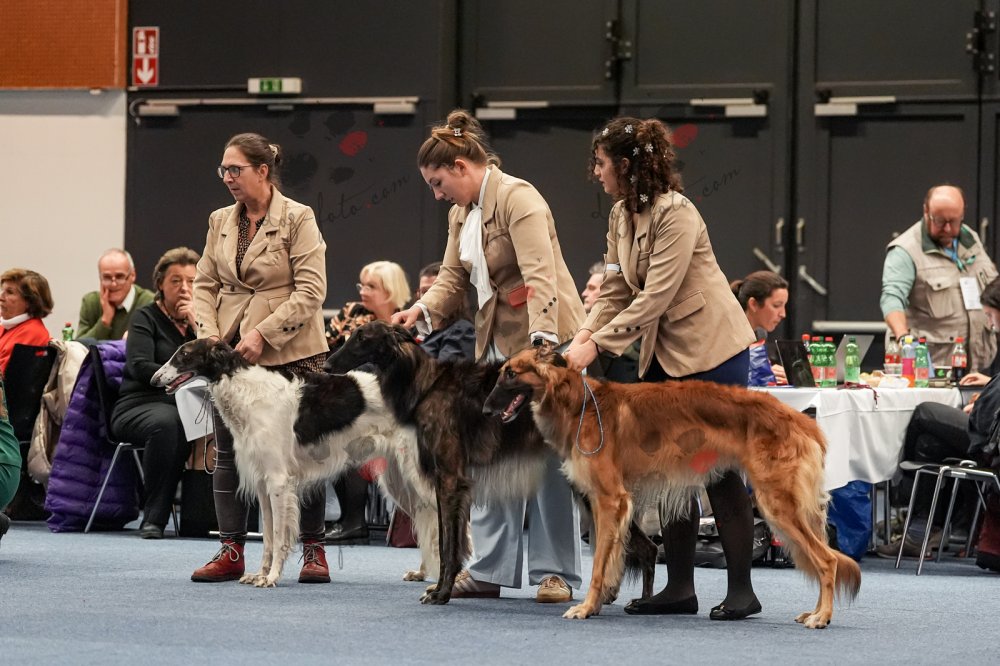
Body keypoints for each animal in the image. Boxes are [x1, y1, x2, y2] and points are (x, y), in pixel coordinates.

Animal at [151, 338, 429, 587]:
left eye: (184, 354)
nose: (154, 379)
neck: (248, 390)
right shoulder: (263, 484)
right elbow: (268, 538)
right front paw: (260, 575)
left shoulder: (278, 481)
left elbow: (279, 536)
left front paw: (272, 577)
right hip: (398, 480)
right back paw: (422, 573)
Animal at [325, 321, 657, 605]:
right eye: (354, 335)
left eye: (362, 338)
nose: (326, 366)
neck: (427, 385)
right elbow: (452, 541)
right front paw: (445, 588)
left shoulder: (449, 479)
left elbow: (447, 545)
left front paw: (441, 593)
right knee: (643, 546)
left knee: (644, 545)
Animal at [485, 347, 861, 627]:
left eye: (511, 373)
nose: (485, 409)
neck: (579, 403)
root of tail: (803, 422)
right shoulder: (605, 504)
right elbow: (611, 560)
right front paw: (602, 600)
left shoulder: (609, 500)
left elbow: (598, 566)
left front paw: (587, 607)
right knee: (823, 557)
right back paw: (814, 612)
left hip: (777, 503)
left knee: (828, 560)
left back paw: (822, 616)